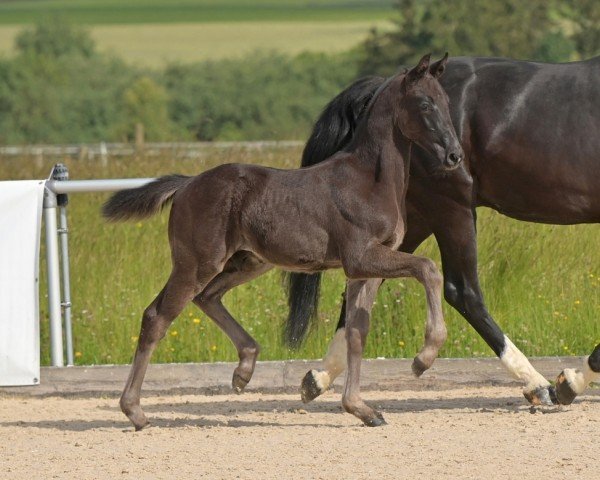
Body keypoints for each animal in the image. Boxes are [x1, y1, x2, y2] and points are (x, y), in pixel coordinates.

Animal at [104, 54, 464, 430]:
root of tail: (187, 184)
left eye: (446, 101)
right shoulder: (361, 257)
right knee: (157, 317)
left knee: (207, 297)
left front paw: (362, 409)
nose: (455, 156)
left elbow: (356, 332)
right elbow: (428, 268)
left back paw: (243, 370)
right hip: (197, 263)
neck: (368, 181)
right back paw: (135, 411)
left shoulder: (366, 269)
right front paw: (423, 358)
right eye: (425, 103)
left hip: (248, 262)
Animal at [288, 55, 600, 404]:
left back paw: (318, 377)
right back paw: (537, 383)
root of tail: (386, 84)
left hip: (416, 217)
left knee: (367, 279)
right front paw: (572, 381)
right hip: (452, 208)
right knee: (463, 291)